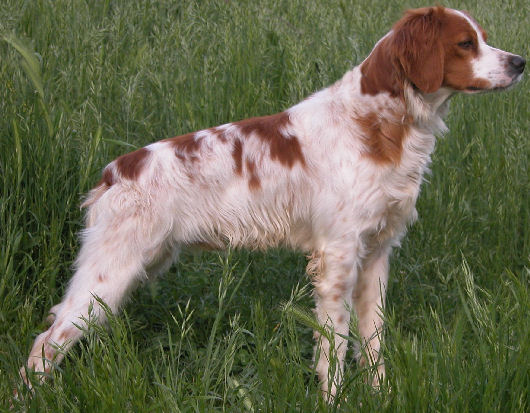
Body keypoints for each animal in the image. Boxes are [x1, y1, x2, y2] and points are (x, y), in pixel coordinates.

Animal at [21, 5, 524, 396]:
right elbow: (334, 345)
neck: (378, 122)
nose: (520, 61)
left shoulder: (378, 252)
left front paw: (380, 395)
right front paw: (333, 398)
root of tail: (114, 173)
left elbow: (373, 342)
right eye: (465, 43)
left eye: (480, 38)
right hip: (109, 273)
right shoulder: (337, 255)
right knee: (46, 342)